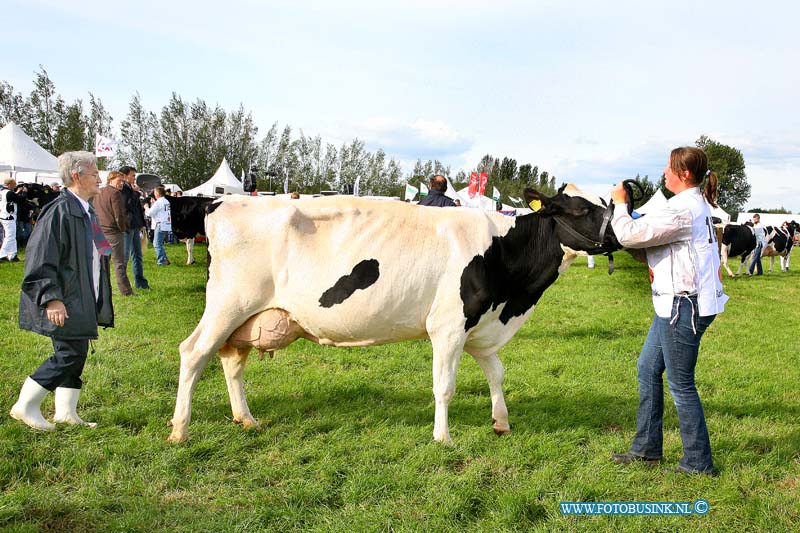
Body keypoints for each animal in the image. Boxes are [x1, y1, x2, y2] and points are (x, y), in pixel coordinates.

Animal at [166, 185, 620, 442]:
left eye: (604, 204)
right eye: (580, 210)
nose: (616, 238)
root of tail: (221, 202)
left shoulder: (480, 326)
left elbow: (497, 374)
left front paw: (501, 423)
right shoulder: (448, 327)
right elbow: (445, 387)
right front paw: (443, 438)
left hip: (247, 318)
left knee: (231, 362)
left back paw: (246, 419)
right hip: (228, 304)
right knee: (194, 353)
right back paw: (180, 430)